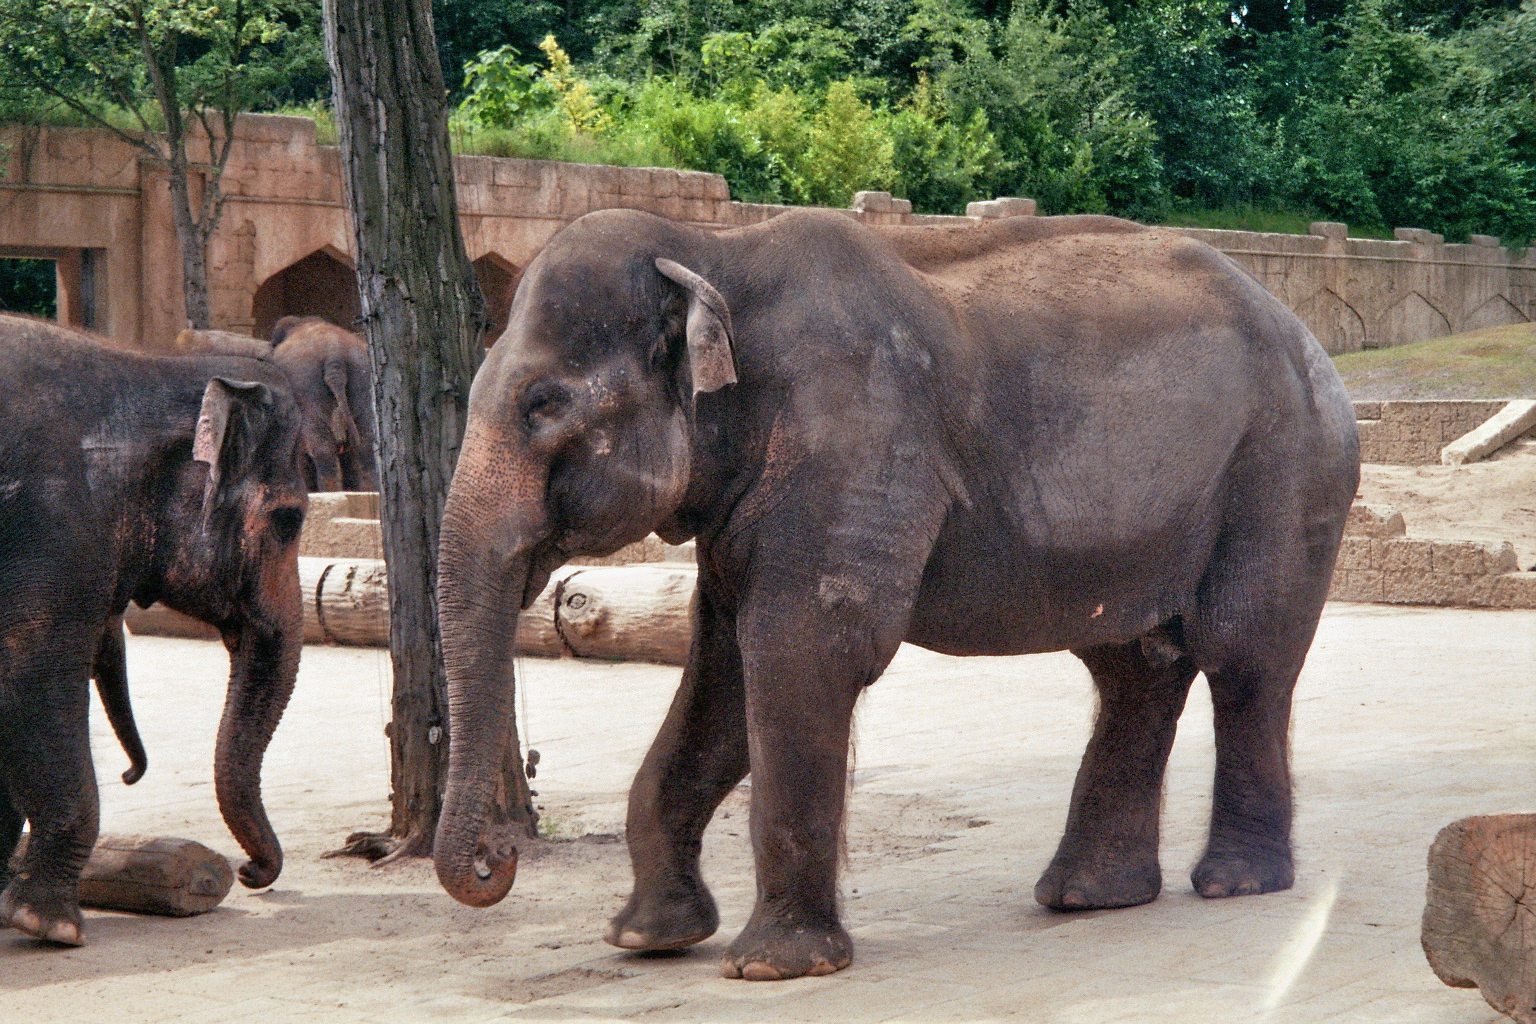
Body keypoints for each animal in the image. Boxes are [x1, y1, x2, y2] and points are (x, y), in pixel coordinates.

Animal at [0, 313, 309, 946]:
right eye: (289, 521)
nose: (250, 872)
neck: (149, 367)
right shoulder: (50, 534)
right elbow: (32, 684)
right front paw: (53, 927)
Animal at [432, 208, 1361, 981]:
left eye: (541, 404)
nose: (494, 860)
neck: (714, 252)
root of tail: (1307, 335)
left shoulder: (853, 439)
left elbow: (803, 650)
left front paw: (775, 968)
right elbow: (724, 669)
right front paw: (645, 939)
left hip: (1285, 470)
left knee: (1243, 657)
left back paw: (1234, 884)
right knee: (1135, 670)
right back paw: (1086, 895)